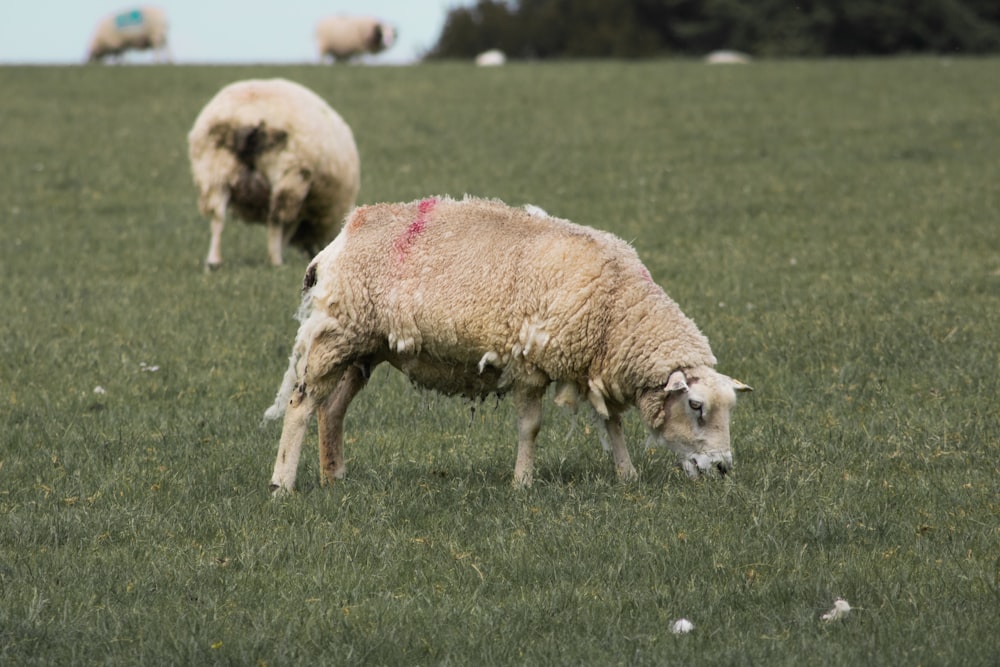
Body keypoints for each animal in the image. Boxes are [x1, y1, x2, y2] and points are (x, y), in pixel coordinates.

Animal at [188, 81, 360, 272]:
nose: (310, 255)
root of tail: (248, 115)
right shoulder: (302, 203)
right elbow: (287, 228)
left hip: (213, 170)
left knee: (217, 217)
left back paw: (214, 262)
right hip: (288, 174)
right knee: (275, 220)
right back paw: (275, 260)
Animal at [266, 196, 752, 494]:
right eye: (695, 406)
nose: (723, 468)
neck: (618, 307)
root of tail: (341, 236)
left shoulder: (595, 365)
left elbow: (611, 422)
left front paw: (627, 475)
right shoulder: (530, 365)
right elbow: (530, 428)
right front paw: (522, 483)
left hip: (364, 348)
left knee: (331, 409)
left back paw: (335, 477)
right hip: (336, 335)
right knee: (301, 405)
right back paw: (282, 485)